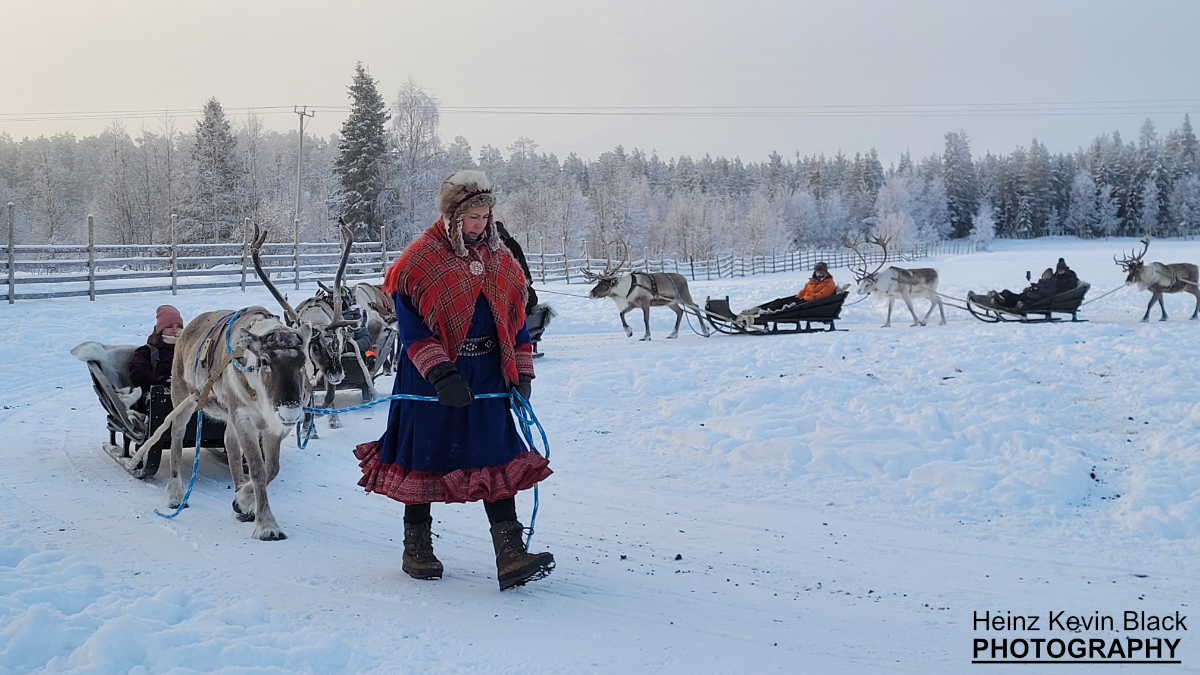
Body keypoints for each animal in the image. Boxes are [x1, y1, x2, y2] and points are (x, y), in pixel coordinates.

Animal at [582, 237, 710, 341]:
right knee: (680, 311)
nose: (591, 293)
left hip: (683, 296)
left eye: (605, 284)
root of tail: (684, 278)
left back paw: (705, 331)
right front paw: (629, 332)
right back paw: (673, 334)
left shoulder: (645, 303)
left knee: (696, 307)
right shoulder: (632, 304)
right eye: (598, 282)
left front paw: (646, 336)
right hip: (670, 302)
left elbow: (646, 319)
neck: (625, 290)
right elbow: (621, 314)